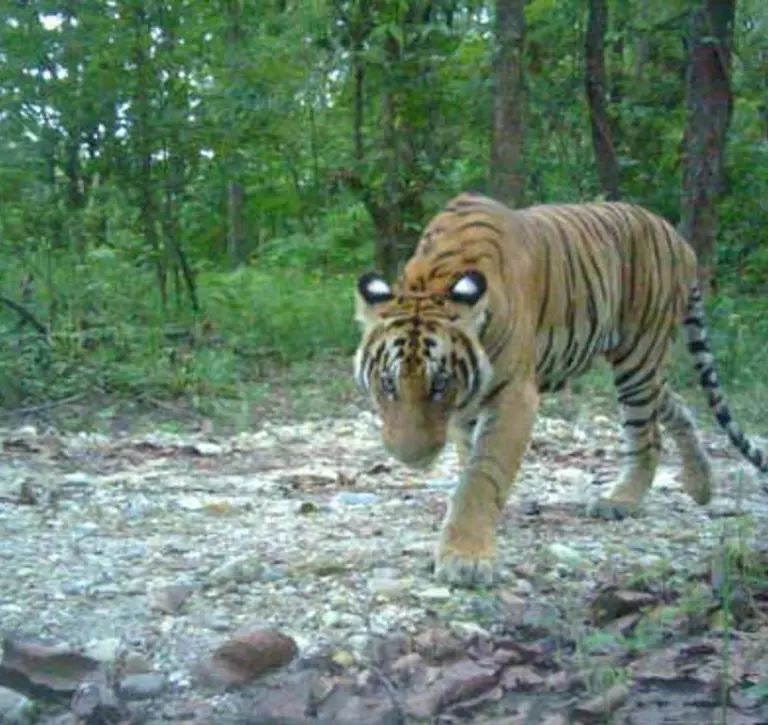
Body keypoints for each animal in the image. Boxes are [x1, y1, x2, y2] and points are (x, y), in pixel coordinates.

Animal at [356, 192, 768, 588]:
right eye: (388, 383)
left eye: (439, 384)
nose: (409, 457)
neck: (435, 277)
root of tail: (680, 240)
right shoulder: (467, 405)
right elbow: (469, 462)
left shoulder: (513, 395)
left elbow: (481, 475)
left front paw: (466, 559)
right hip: (644, 367)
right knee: (676, 405)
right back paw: (701, 484)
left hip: (638, 355)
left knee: (647, 434)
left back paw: (621, 501)